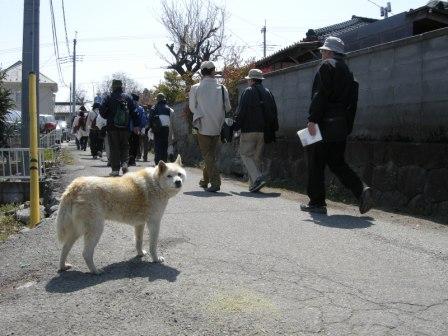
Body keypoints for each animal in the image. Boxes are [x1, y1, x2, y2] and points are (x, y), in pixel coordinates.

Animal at [56, 156, 186, 274]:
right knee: (86, 253)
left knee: (64, 248)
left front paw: (140, 254)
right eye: (169, 176)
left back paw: (63, 266)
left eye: (179, 174)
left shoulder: (139, 224)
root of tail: (75, 186)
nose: (178, 182)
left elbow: (139, 241)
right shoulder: (154, 223)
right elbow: (153, 245)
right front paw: (156, 259)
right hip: (96, 229)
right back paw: (96, 271)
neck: (156, 183)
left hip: (77, 231)